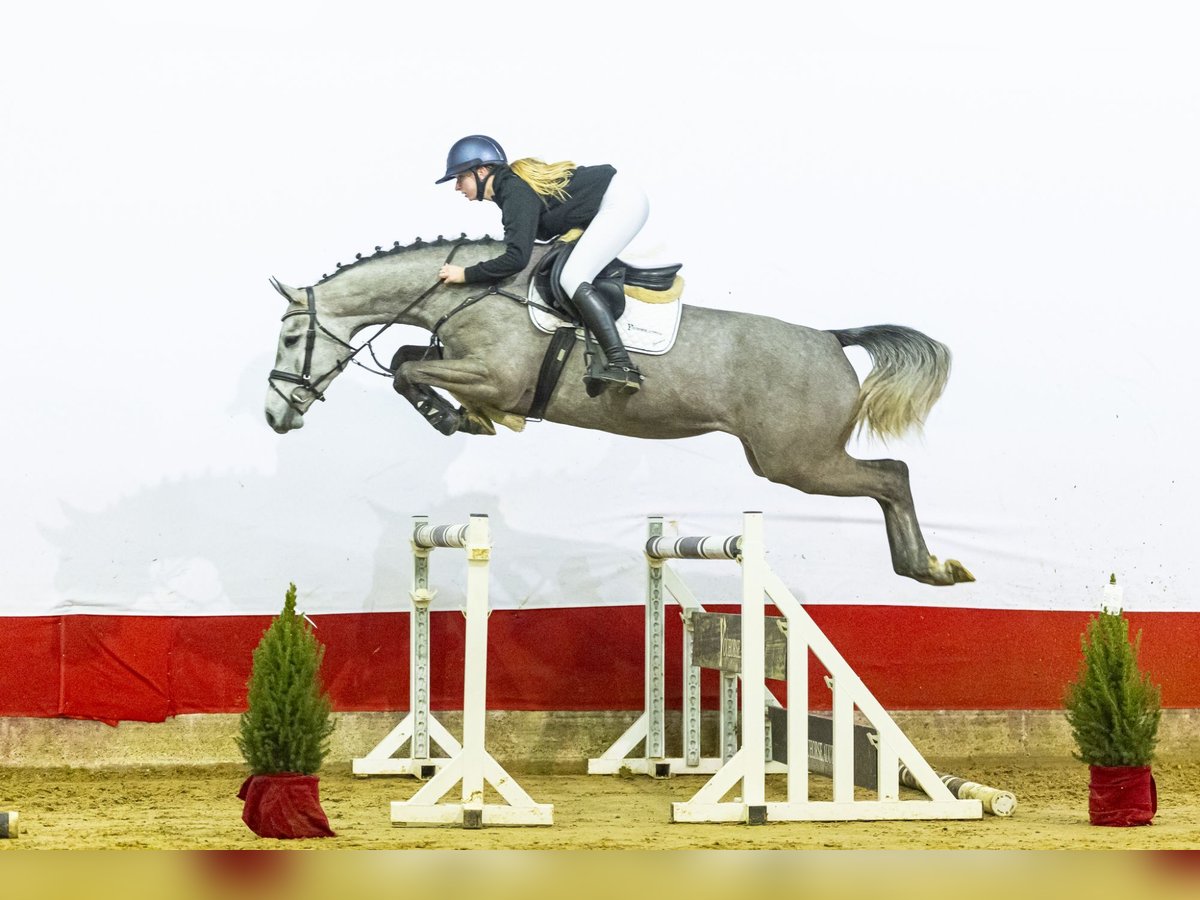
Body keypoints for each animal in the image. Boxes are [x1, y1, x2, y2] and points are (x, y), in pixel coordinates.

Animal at [265, 235, 973, 587]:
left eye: (292, 338)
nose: (275, 417)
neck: (472, 290)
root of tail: (831, 337)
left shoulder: (498, 376)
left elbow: (409, 368)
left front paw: (456, 417)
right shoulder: (463, 360)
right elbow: (407, 358)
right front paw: (460, 415)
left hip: (797, 461)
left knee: (891, 476)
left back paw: (930, 569)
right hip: (790, 459)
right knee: (888, 480)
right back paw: (922, 568)